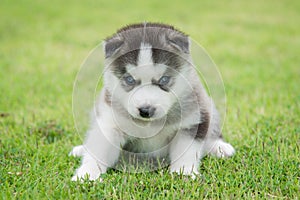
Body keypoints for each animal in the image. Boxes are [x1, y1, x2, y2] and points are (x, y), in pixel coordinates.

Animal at [70, 22, 234, 180]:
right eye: (129, 79)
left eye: (164, 79)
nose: (145, 110)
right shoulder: (110, 123)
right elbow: (99, 149)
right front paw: (87, 173)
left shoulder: (192, 121)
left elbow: (186, 151)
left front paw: (184, 171)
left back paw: (219, 148)